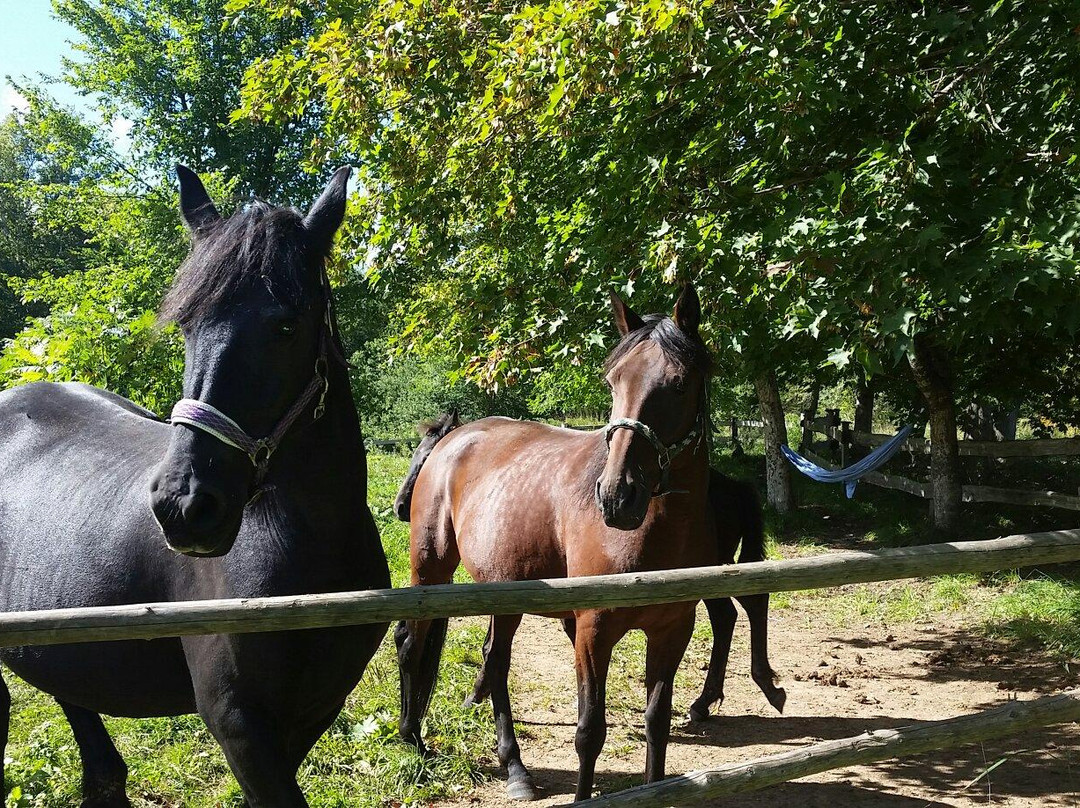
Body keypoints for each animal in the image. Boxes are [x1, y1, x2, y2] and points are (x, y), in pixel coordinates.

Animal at [397, 285, 777, 803]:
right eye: (613, 381)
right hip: (431, 570)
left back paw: (514, 767)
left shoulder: (672, 631)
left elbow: (656, 723)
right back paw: (414, 740)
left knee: (495, 659)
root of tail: (452, 442)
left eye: (680, 383)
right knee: (414, 642)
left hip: (505, 592)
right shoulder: (592, 632)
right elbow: (590, 731)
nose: (617, 495)